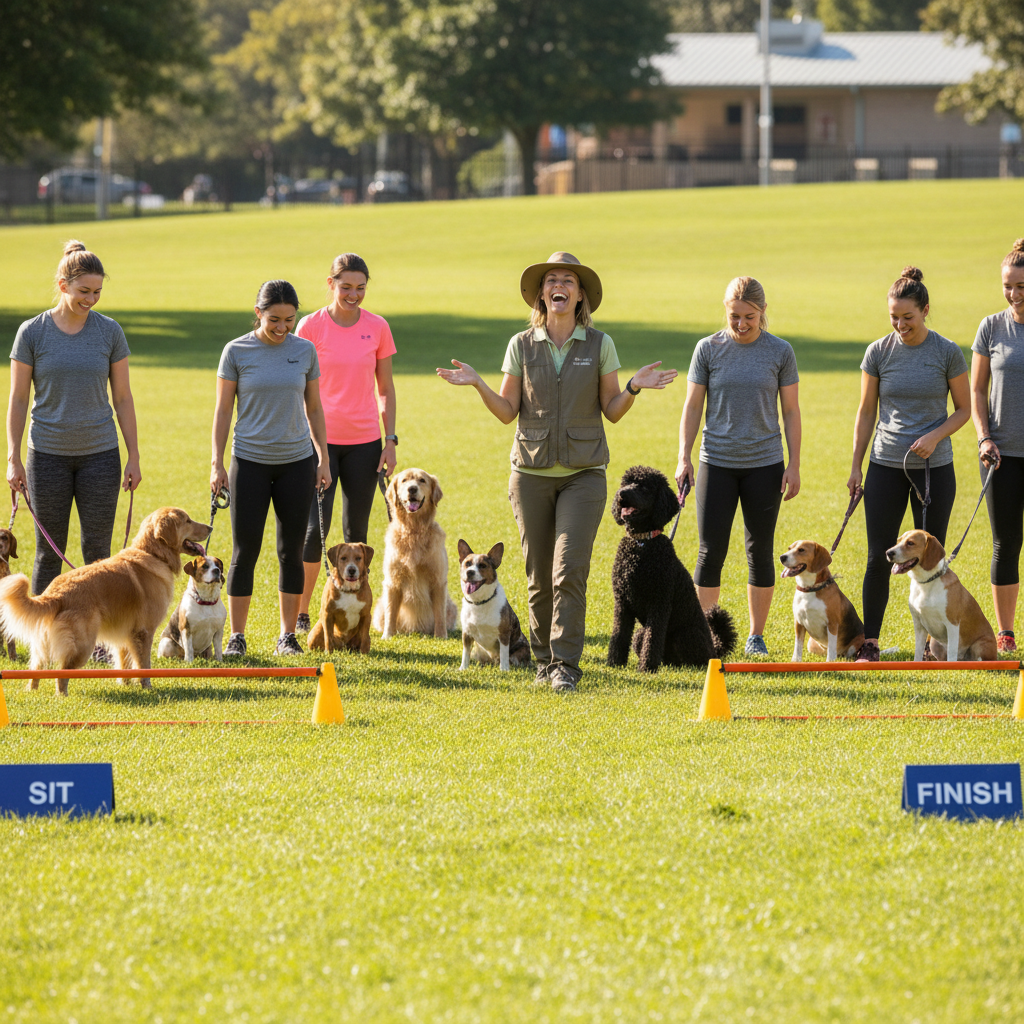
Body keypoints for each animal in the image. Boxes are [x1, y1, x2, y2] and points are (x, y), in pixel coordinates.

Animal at [0, 507, 211, 694]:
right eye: (188, 521)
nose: (210, 527)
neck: (154, 554)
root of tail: (54, 593)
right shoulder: (144, 632)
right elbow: (143, 665)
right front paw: (147, 687)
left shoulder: (126, 633)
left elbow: (125, 663)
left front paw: (126, 685)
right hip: (83, 645)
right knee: (61, 673)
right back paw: (62, 696)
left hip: (45, 642)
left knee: (36, 667)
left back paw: (32, 691)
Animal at [372, 468, 458, 639]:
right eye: (404, 480)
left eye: (422, 480)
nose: (412, 489)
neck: (413, 530)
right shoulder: (393, 580)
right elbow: (391, 612)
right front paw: (388, 635)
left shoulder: (438, 580)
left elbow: (440, 614)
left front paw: (441, 636)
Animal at [456, 539, 532, 670]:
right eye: (467, 564)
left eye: (482, 566)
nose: (469, 572)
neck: (479, 602)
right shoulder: (466, 633)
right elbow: (465, 654)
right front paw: (463, 669)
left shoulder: (504, 634)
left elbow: (504, 654)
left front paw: (504, 670)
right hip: (477, 652)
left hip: (520, 653)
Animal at [608, 465, 736, 671]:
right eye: (625, 482)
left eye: (644, 487)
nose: (622, 494)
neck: (642, 543)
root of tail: (714, 652)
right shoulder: (622, 604)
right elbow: (619, 635)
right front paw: (614, 664)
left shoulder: (659, 604)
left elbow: (653, 639)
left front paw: (647, 668)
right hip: (639, 635)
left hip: (685, 635)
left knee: (691, 660)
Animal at [887, 529, 997, 662]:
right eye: (898, 541)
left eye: (910, 543)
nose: (888, 553)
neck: (926, 583)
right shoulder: (919, 626)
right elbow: (918, 653)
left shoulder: (952, 624)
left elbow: (951, 653)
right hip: (934, 643)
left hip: (980, 645)